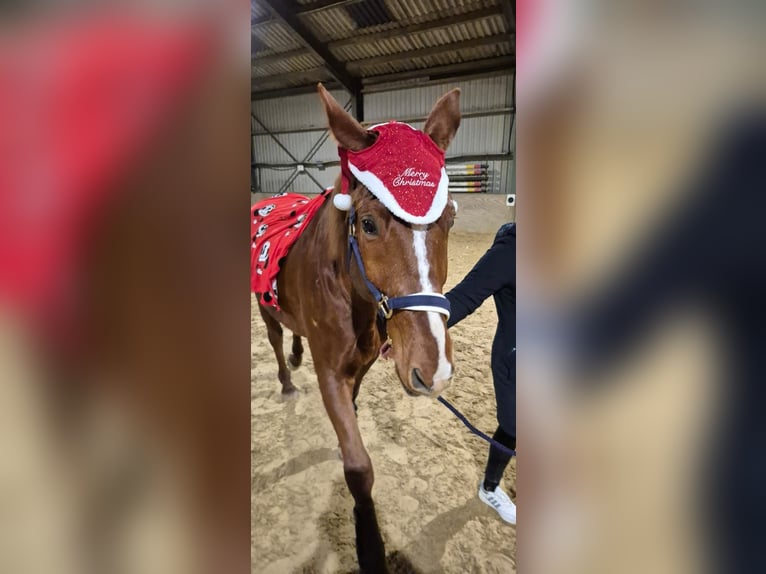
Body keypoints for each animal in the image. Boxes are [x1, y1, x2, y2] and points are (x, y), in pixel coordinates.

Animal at [253, 84, 461, 572]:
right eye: (367, 224)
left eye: (449, 219)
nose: (435, 370)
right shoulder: (329, 373)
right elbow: (358, 468)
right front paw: (370, 544)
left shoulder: (363, 362)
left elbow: (354, 404)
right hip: (262, 306)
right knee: (274, 338)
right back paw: (286, 380)